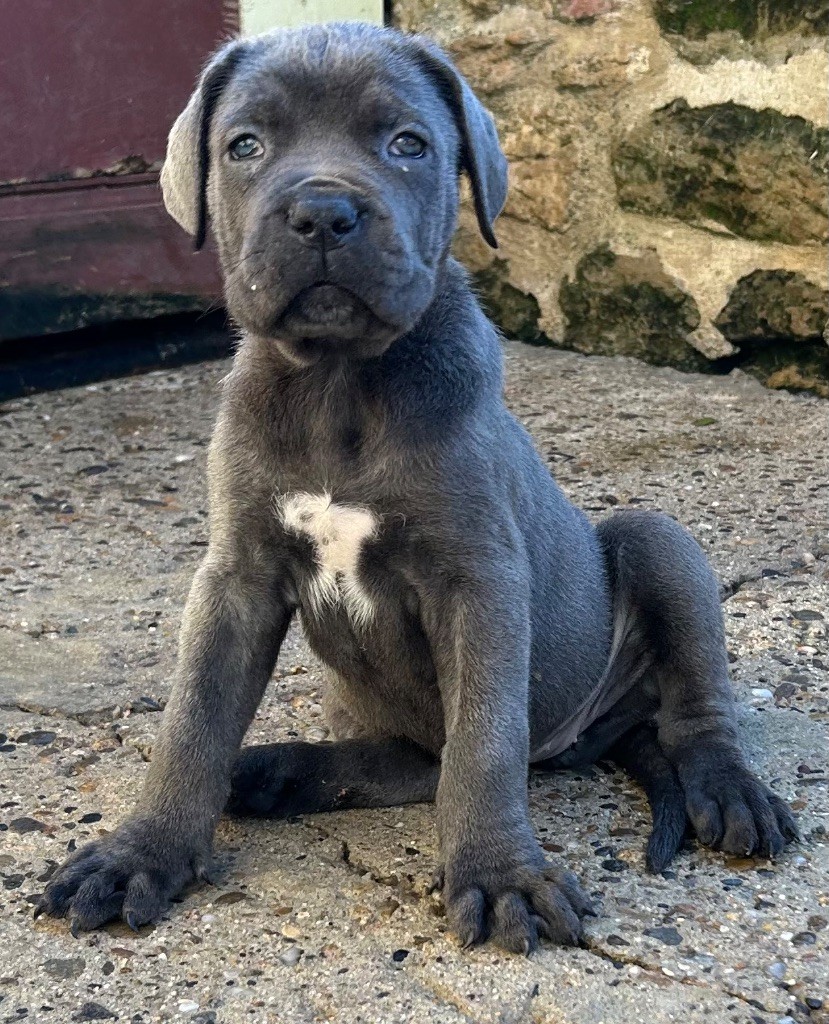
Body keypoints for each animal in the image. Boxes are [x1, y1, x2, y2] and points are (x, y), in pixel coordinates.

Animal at [38, 22, 794, 950]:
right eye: (244, 146)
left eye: (407, 144)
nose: (323, 213)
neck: (338, 383)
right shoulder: (235, 578)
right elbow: (192, 720)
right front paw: (138, 852)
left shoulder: (476, 580)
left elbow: (483, 743)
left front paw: (498, 875)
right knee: (409, 758)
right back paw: (278, 774)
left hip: (658, 541)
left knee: (688, 707)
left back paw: (729, 792)